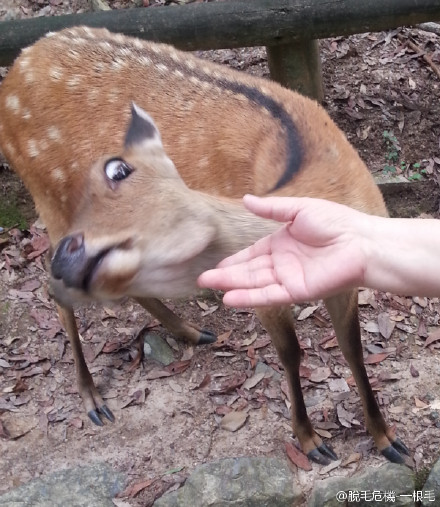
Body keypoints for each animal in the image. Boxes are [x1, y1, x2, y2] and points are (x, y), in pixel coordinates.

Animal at [0, 26, 410, 464]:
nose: (69, 259)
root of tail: (17, 68)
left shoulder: (344, 279)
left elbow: (353, 348)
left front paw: (388, 439)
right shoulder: (259, 286)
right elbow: (291, 352)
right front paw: (311, 441)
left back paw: (191, 332)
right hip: (47, 198)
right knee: (55, 294)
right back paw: (93, 398)